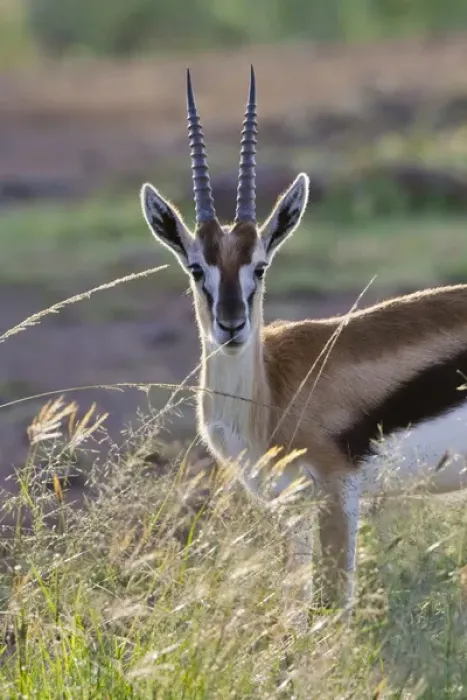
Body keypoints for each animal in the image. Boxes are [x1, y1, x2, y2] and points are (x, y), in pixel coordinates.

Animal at [140, 66, 467, 617]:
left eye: (260, 266)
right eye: (196, 268)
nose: (231, 325)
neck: (268, 395)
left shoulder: (335, 492)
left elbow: (332, 608)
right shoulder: (288, 508)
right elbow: (296, 610)